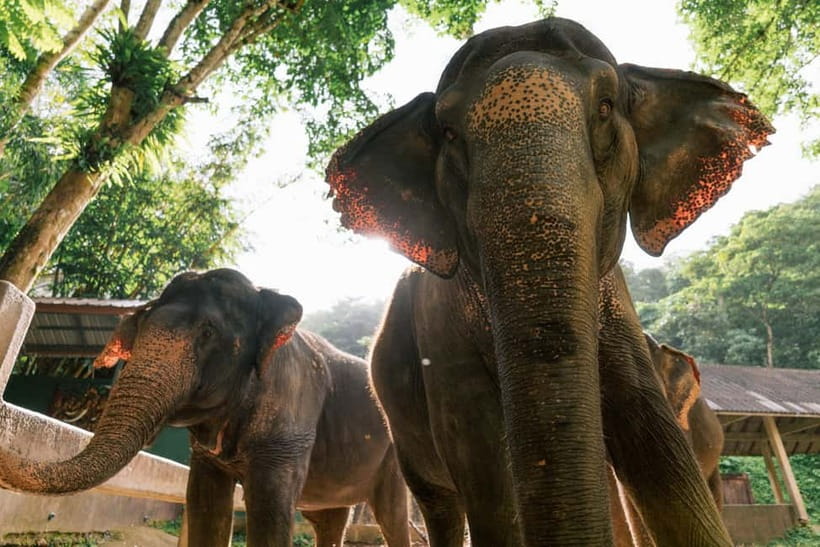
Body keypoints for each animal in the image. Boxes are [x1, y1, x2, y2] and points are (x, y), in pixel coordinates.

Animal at [0, 269, 411, 547]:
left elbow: (270, 509)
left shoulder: (290, 418)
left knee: (392, 514)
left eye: (208, 333)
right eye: (142, 325)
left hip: (394, 457)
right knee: (329, 520)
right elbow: (205, 505)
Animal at [324, 17, 771, 546]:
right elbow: (479, 457)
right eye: (449, 133)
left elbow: (653, 437)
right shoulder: (440, 323)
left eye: (606, 106)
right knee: (442, 502)